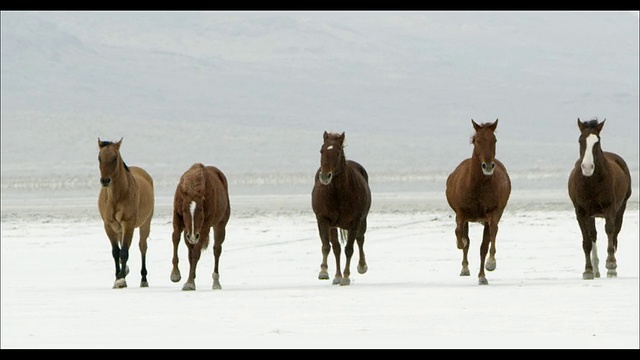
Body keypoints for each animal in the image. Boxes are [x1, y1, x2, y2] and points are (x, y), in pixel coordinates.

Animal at [97, 136, 155, 288]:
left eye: (115, 158)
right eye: (99, 158)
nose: (105, 180)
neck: (117, 196)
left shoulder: (128, 224)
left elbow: (124, 252)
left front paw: (121, 278)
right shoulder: (109, 226)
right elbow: (115, 252)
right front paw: (118, 277)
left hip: (145, 223)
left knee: (142, 247)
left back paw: (143, 279)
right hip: (119, 229)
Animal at [170, 162, 230, 292]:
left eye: (201, 209)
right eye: (184, 209)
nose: (193, 236)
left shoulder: (204, 228)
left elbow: (196, 253)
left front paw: (189, 283)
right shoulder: (178, 218)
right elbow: (175, 238)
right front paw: (175, 274)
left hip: (220, 225)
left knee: (216, 250)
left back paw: (216, 282)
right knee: (189, 251)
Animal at [312, 131, 372, 286]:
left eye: (338, 152)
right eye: (321, 150)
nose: (325, 176)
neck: (337, 194)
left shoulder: (355, 221)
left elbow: (349, 249)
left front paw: (346, 277)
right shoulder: (323, 220)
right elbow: (327, 246)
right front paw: (324, 272)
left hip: (362, 221)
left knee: (360, 239)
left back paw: (361, 266)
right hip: (333, 226)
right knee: (336, 248)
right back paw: (337, 275)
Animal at [444, 119, 510, 286]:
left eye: (494, 140)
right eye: (476, 141)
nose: (488, 166)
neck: (477, 187)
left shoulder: (492, 214)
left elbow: (488, 240)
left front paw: (490, 264)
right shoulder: (461, 214)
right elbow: (461, 236)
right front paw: (460, 243)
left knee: (484, 244)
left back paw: (482, 275)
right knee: (465, 239)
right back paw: (465, 268)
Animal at [568, 117, 632, 278]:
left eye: (597, 141)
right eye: (580, 140)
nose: (587, 167)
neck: (590, 182)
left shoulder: (610, 208)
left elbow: (609, 231)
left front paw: (611, 264)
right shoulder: (581, 213)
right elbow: (587, 241)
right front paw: (588, 270)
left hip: (620, 209)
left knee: (615, 234)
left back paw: (612, 268)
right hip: (591, 215)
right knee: (593, 235)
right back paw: (596, 269)